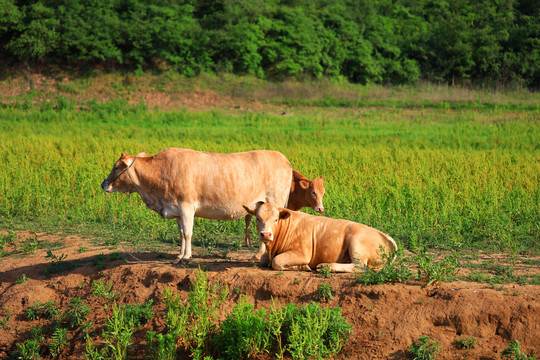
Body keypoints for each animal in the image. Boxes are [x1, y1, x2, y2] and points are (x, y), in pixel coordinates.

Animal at [100, 148, 292, 262]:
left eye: (116, 167)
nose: (103, 184)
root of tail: (283, 158)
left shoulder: (187, 207)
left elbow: (187, 233)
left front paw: (186, 257)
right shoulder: (177, 210)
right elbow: (181, 233)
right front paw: (179, 254)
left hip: (274, 201)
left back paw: (259, 255)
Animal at [243, 201, 398, 272]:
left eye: (276, 219)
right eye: (258, 218)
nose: (266, 234)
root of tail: (384, 235)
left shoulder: (302, 253)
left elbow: (277, 261)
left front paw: (303, 267)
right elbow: (263, 259)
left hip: (356, 242)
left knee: (359, 267)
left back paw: (326, 266)